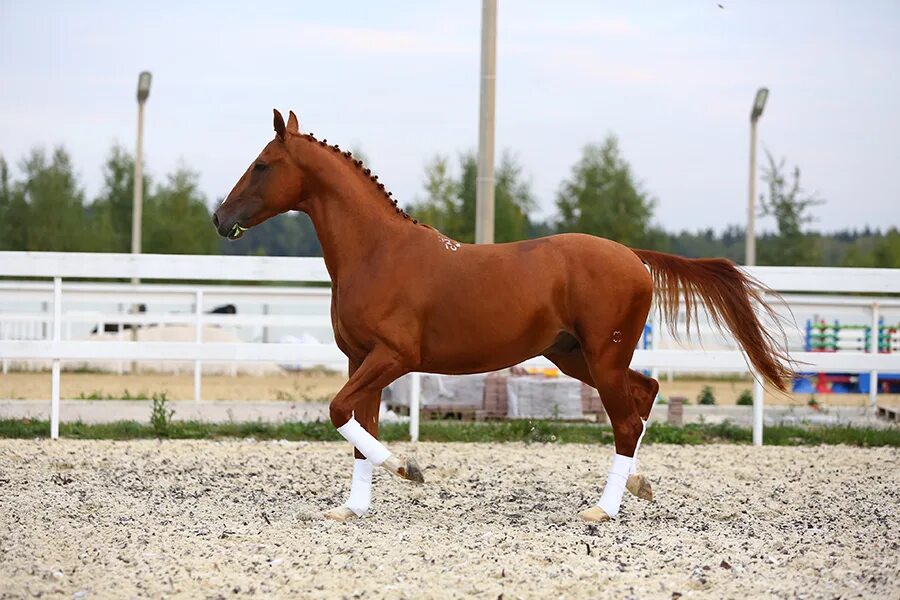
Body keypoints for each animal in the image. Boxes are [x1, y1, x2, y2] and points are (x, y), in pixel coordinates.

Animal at [214, 110, 792, 524]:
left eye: (262, 164)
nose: (220, 219)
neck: (377, 253)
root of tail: (633, 257)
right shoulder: (361, 360)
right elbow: (359, 425)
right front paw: (353, 507)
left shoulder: (393, 357)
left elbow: (339, 413)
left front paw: (409, 469)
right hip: (576, 357)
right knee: (644, 393)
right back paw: (636, 486)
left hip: (601, 357)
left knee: (628, 418)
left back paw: (603, 510)